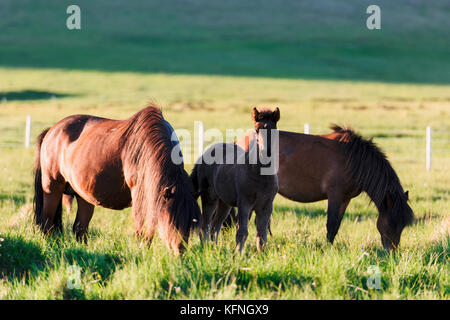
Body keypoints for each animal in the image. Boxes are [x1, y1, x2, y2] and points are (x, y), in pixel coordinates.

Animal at [32, 105, 200, 255]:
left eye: (191, 223)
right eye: (172, 222)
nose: (180, 253)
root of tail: (51, 131)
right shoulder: (140, 197)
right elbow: (142, 232)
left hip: (83, 196)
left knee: (80, 228)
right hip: (52, 188)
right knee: (47, 223)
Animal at [192, 107, 280, 252]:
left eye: (274, 129)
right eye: (257, 130)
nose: (266, 153)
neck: (261, 176)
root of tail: (205, 154)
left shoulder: (266, 206)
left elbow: (262, 234)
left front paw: (261, 254)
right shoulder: (245, 203)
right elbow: (242, 231)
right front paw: (239, 253)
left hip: (224, 203)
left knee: (215, 226)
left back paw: (214, 249)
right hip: (209, 198)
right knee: (205, 226)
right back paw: (205, 249)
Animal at [236, 124, 414, 251]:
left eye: (403, 225)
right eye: (391, 223)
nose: (392, 252)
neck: (354, 159)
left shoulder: (345, 199)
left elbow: (336, 226)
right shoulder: (335, 195)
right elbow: (331, 224)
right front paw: (328, 250)